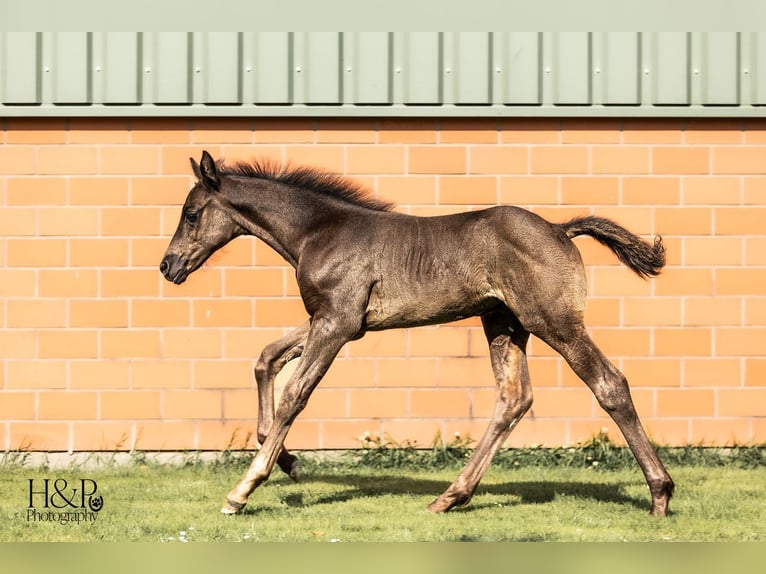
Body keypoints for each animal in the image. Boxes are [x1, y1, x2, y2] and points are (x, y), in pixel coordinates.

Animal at [159, 152, 676, 516]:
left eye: (191, 213)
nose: (168, 266)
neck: (317, 232)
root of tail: (560, 228)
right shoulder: (334, 320)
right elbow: (266, 358)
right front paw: (288, 461)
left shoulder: (337, 323)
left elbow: (295, 394)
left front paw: (243, 490)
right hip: (503, 323)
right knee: (513, 398)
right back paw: (450, 497)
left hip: (553, 321)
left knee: (609, 384)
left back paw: (660, 494)